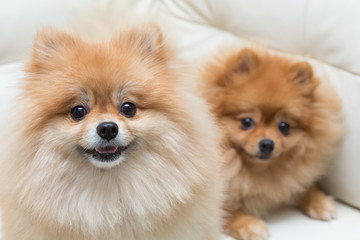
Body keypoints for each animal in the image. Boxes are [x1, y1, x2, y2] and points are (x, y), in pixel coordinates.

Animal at [201, 47, 344, 240]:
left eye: (284, 126)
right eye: (246, 122)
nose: (267, 144)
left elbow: (300, 186)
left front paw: (319, 202)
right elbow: (227, 210)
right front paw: (250, 225)